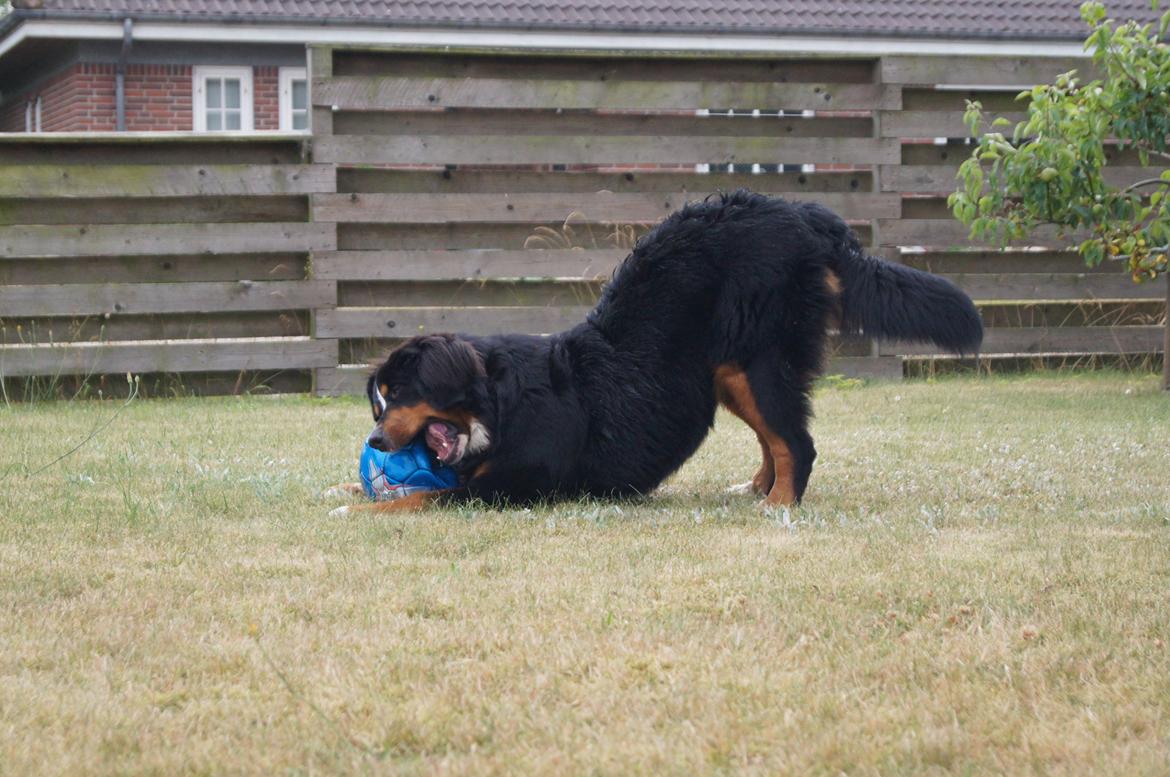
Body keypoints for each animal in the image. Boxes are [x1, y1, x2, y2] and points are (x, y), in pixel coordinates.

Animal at [325, 189, 982, 514]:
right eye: (379, 401)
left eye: (404, 393)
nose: (375, 441)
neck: (500, 406)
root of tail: (803, 214)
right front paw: (343, 490)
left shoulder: (507, 488)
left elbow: (421, 499)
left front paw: (357, 510)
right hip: (727, 371)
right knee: (775, 439)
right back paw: (755, 491)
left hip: (754, 360)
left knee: (796, 442)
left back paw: (779, 507)